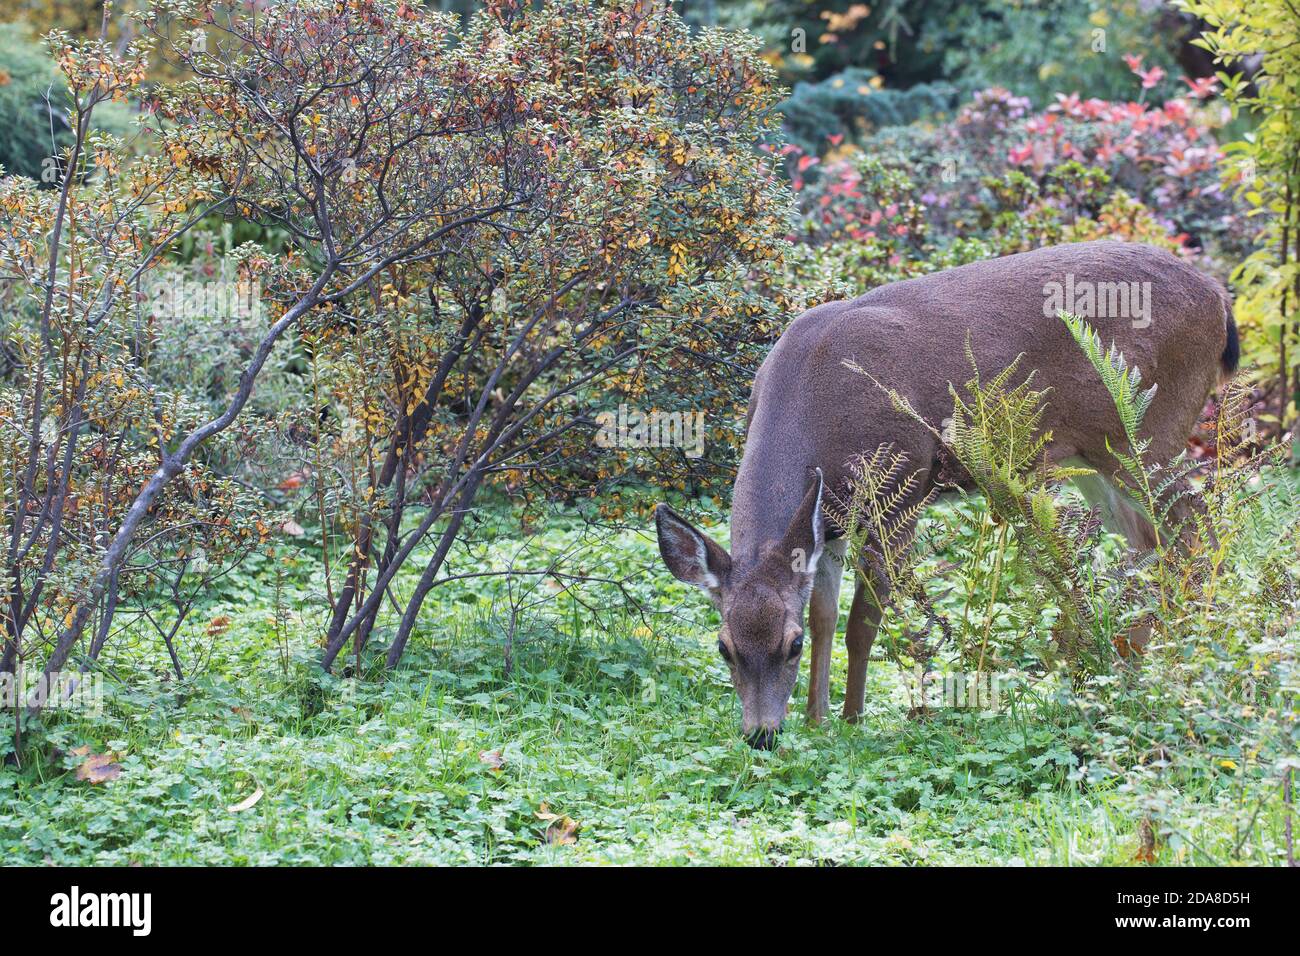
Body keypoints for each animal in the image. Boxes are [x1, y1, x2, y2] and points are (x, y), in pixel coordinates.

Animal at [654, 241, 1238, 749]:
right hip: (1100, 461)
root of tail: (1219, 298)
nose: (762, 735)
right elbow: (825, 614)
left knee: (1199, 529)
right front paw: (817, 720)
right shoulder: (829, 522)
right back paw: (1133, 659)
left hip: (1151, 431)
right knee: (1153, 544)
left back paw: (1188, 657)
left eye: (788, 644)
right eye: (725, 647)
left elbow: (863, 621)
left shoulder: (902, 488)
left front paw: (852, 720)